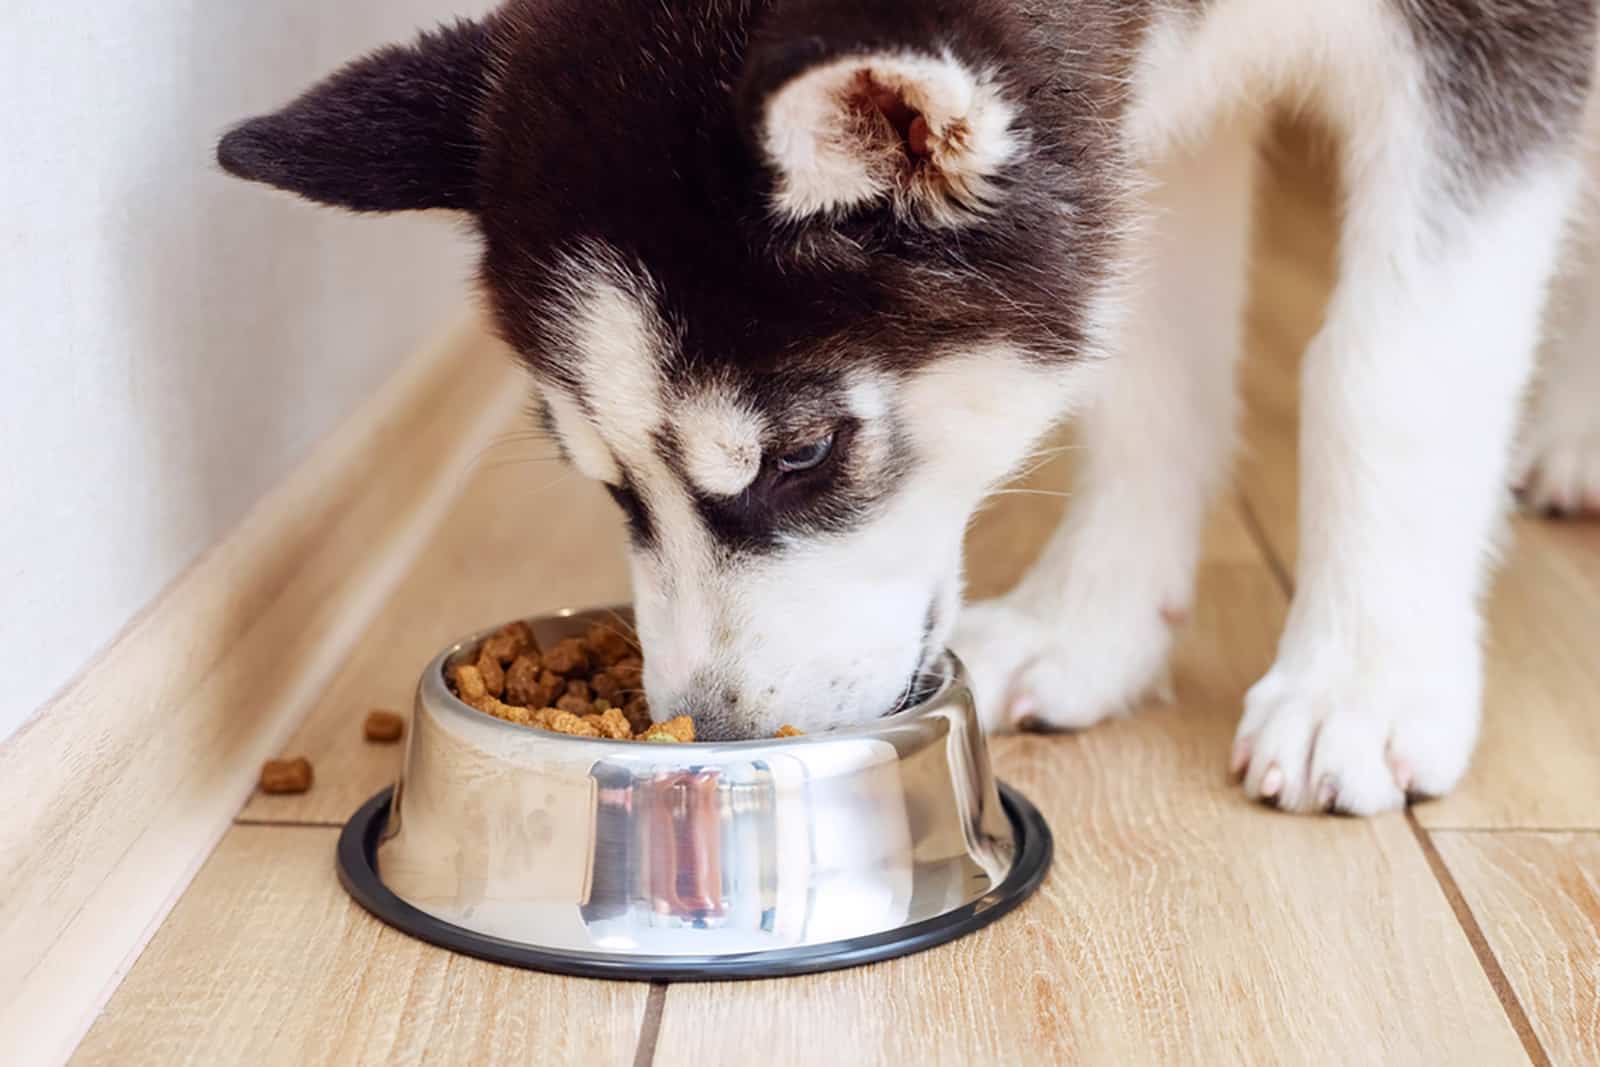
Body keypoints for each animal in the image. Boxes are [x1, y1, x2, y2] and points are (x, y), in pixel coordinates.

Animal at [222, 0, 1600, 812]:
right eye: (607, 481)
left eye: (802, 452)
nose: (714, 731)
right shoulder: (1120, 129)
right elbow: (1140, 365)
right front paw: (1088, 619)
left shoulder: (1489, 44)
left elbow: (1385, 370)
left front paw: (1362, 676)